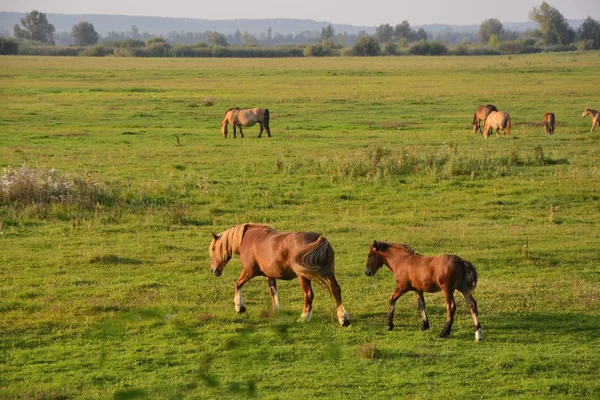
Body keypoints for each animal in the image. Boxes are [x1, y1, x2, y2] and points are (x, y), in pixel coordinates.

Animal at [209, 223, 350, 326]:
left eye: (213, 248)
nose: (213, 270)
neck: (248, 238)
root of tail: (319, 239)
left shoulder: (249, 271)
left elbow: (238, 284)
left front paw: (239, 307)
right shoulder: (270, 275)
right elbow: (273, 291)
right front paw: (276, 310)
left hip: (303, 276)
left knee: (309, 295)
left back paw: (304, 317)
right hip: (329, 273)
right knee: (336, 291)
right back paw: (343, 319)